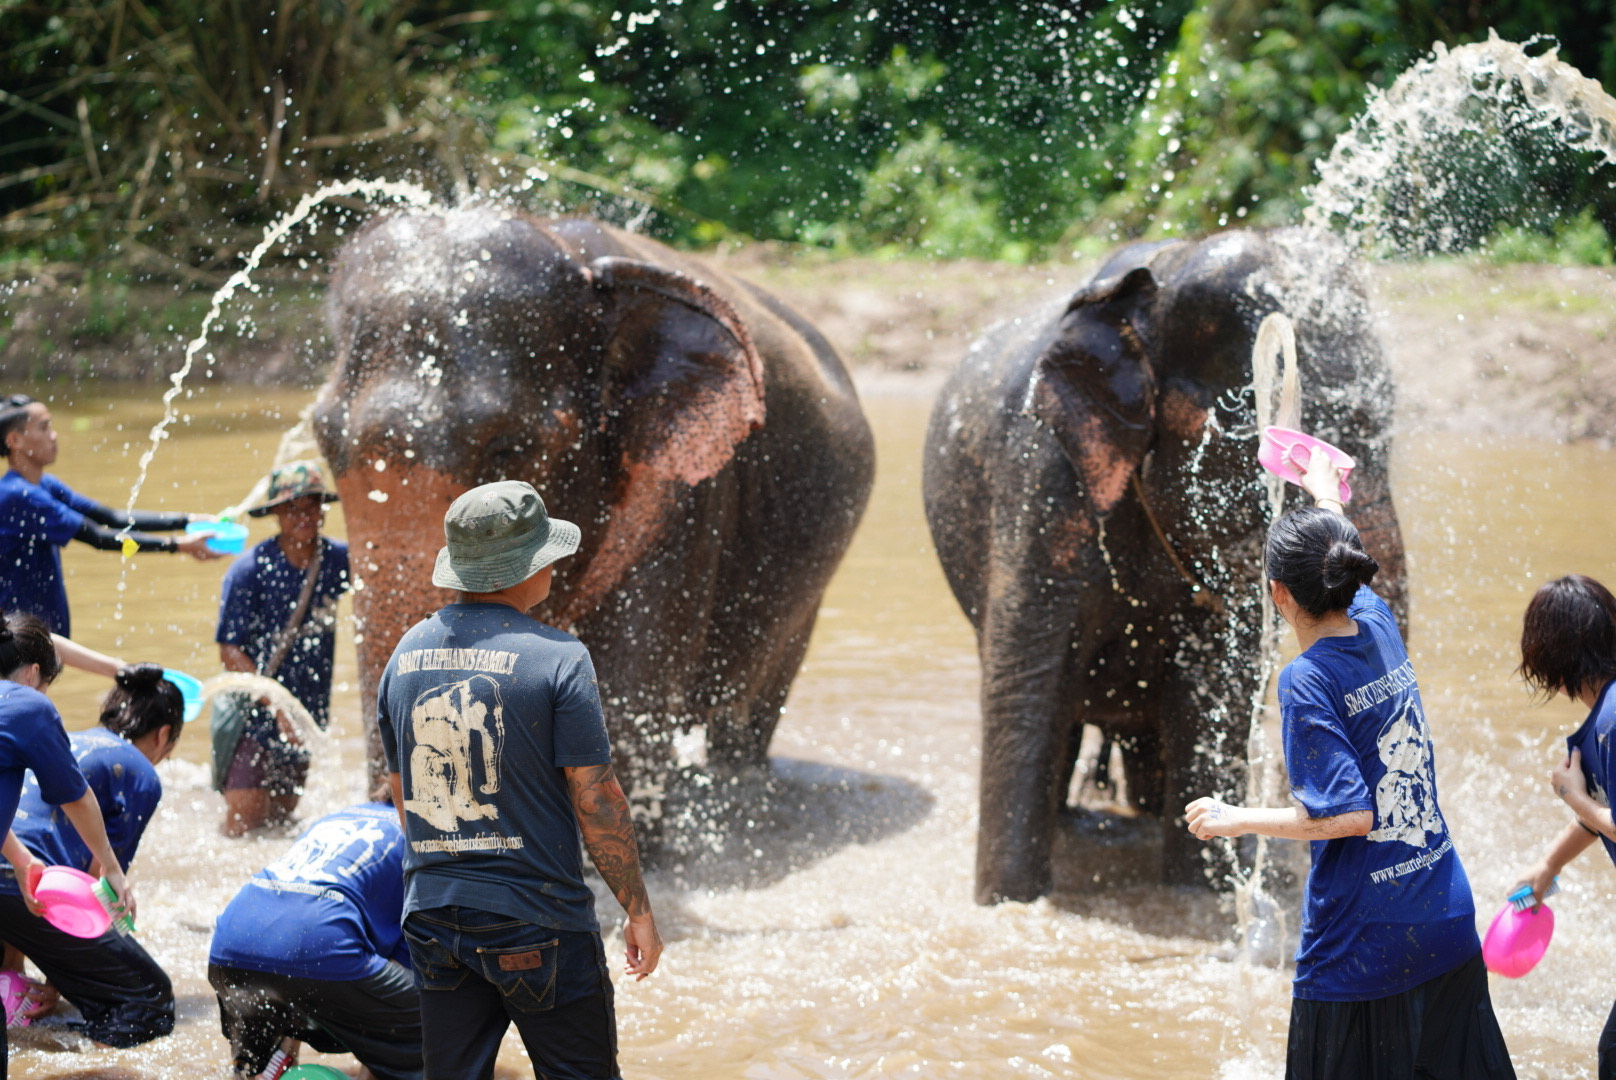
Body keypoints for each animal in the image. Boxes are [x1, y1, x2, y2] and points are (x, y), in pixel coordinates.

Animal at [930, 227, 1409, 905]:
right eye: (1254, 434)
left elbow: (1213, 691)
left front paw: (1202, 892)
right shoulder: (1038, 483)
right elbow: (1025, 686)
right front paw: (1009, 903)